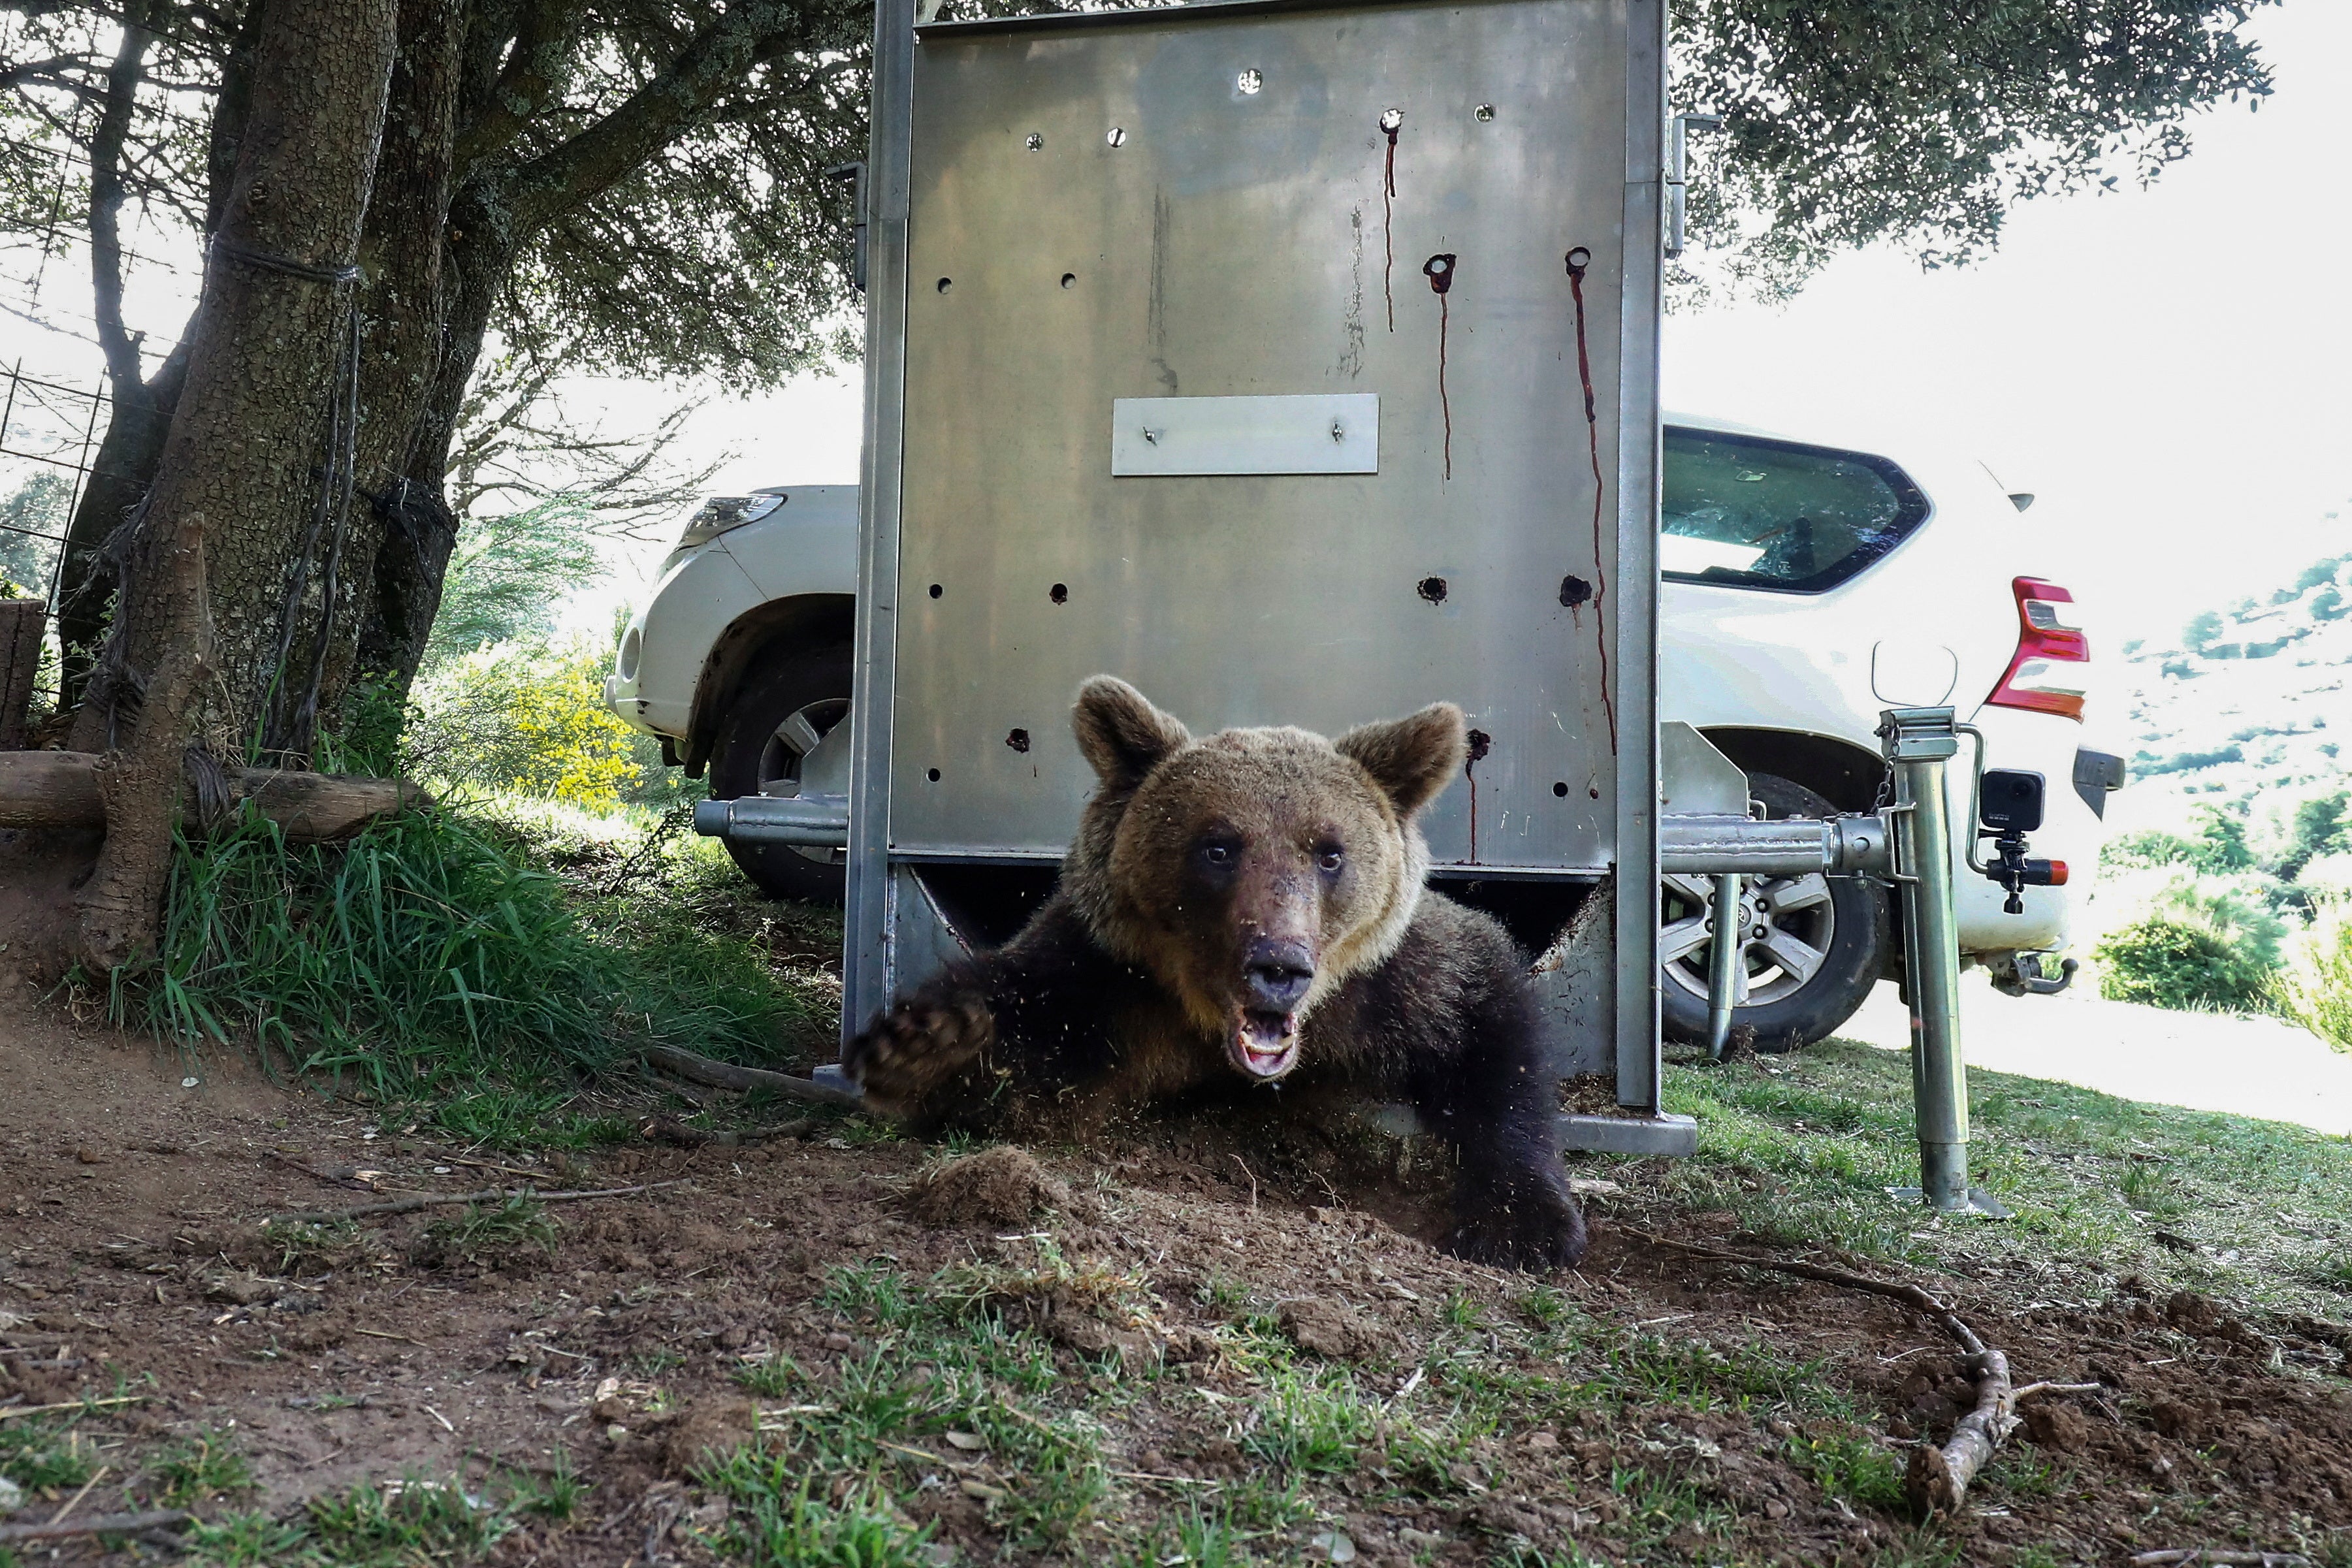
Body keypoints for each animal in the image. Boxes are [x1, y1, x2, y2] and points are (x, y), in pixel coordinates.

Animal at [837, 681, 1590, 1269]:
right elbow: (1025, 1051)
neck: (1203, 1018)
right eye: (1218, 846)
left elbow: (1488, 1027)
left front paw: (1523, 1226)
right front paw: (926, 1044)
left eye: (1330, 852)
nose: (1278, 966)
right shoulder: (1104, 982)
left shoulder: (1386, 983)